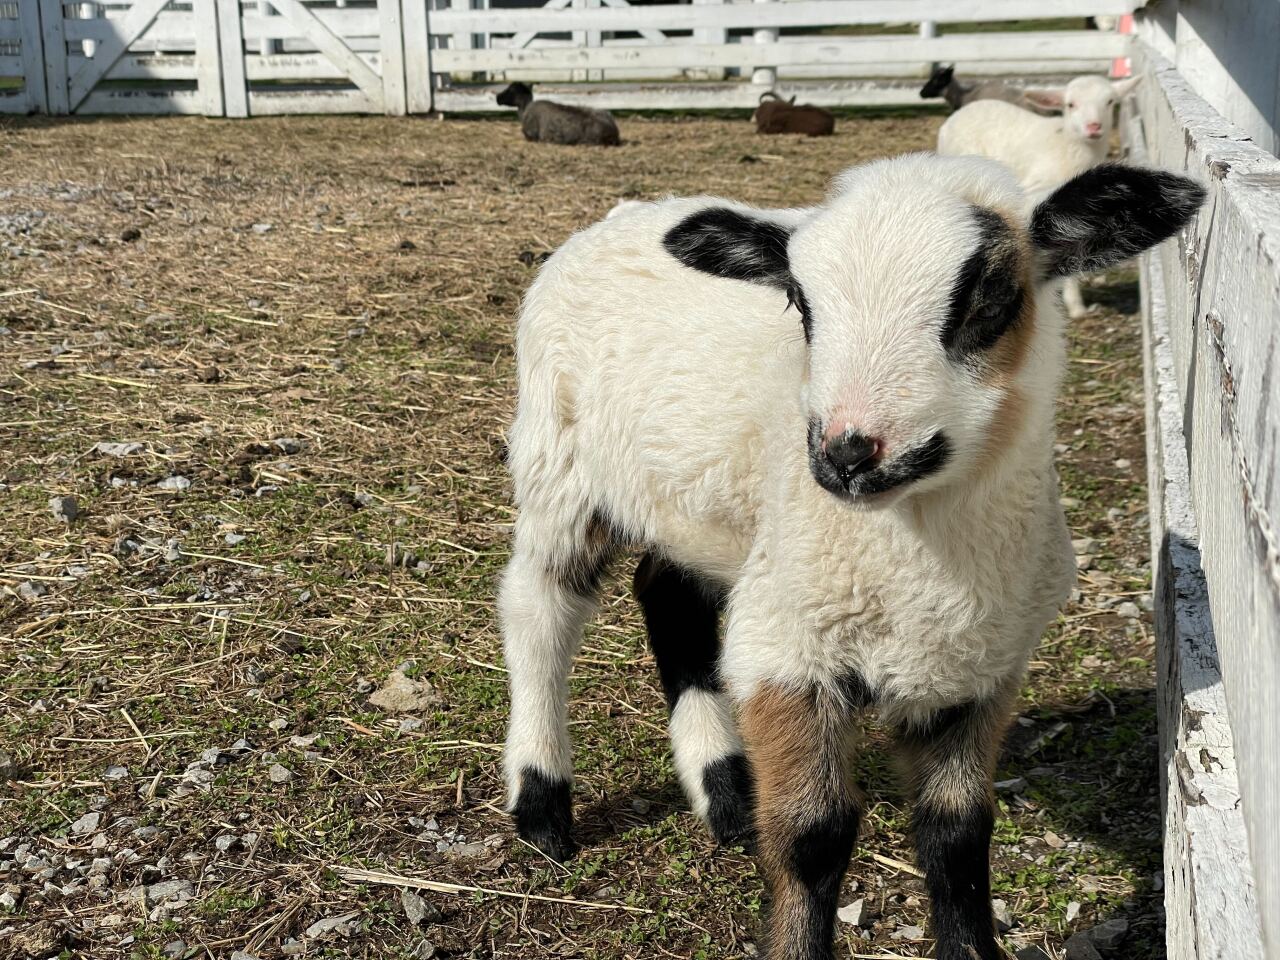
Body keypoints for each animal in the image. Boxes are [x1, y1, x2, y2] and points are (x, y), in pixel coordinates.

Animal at [499, 154, 1198, 960]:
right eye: (800, 303)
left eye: (992, 296)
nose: (846, 453)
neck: (920, 559)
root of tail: (629, 210)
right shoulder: (791, 649)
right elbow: (814, 838)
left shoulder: (980, 666)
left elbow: (958, 833)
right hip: (560, 458)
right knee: (539, 605)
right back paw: (542, 804)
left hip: (708, 511)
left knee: (667, 594)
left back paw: (726, 793)